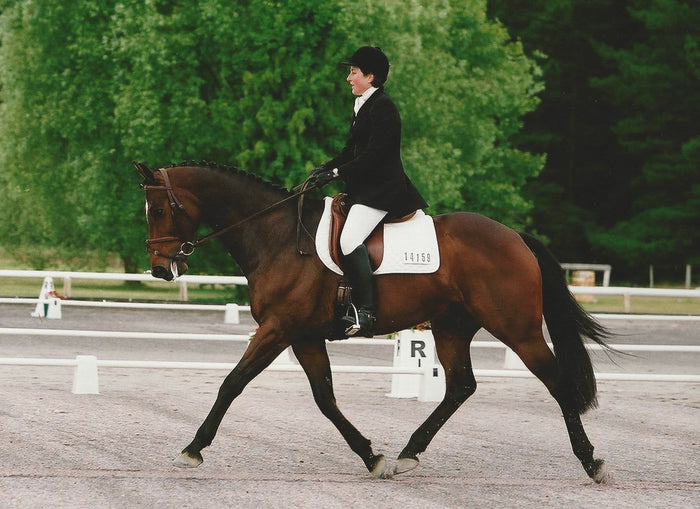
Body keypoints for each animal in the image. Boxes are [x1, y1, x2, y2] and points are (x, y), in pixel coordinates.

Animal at [135, 161, 612, 482]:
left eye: (157, 210)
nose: (160, 270)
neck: (276, 236)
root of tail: (514, 236)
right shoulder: (304, 337)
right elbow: (325, 399)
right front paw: (372, 456)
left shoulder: (277, 329)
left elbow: (232, 383)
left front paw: (192, 448)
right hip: (452, 325)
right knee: (460, 386)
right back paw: (407, 454)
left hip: (517, 329)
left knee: (556, 382)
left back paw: (591, 461)